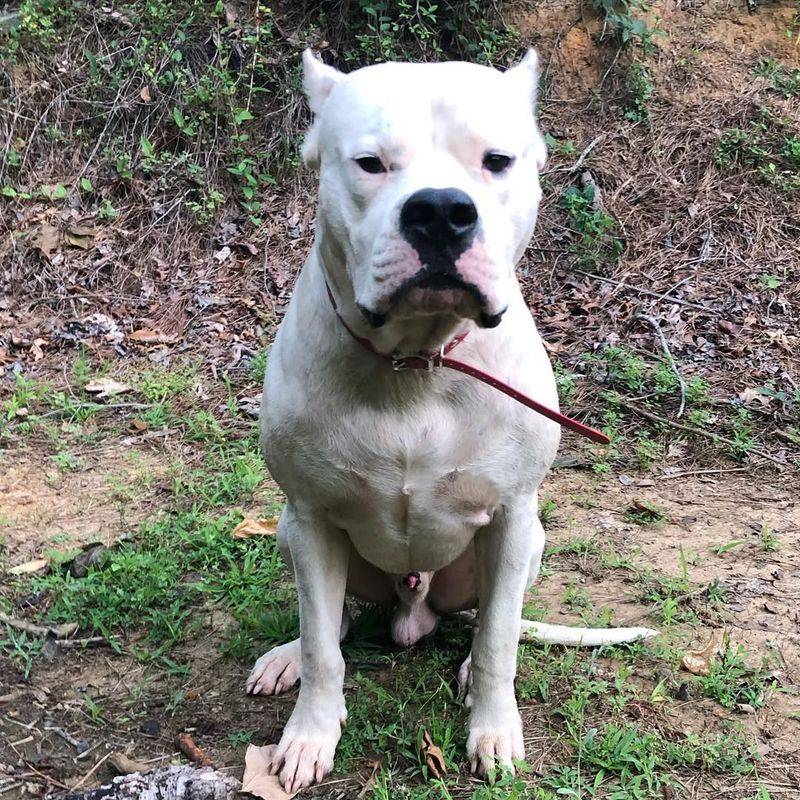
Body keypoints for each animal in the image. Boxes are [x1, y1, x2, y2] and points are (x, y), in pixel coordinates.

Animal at [248, 51, 656, 792]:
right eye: (370, 163)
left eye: (497, 160)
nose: (440, 211)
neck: (418, 361)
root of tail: (414, 612)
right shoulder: (313, 518)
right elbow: (325, 647)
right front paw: (309, 734)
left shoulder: (513, 515)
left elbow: (497, 639)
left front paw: (493, 730)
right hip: (291, 532)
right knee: (336, 619)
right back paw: (289, 653)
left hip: (529, 544)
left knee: (493, 620)